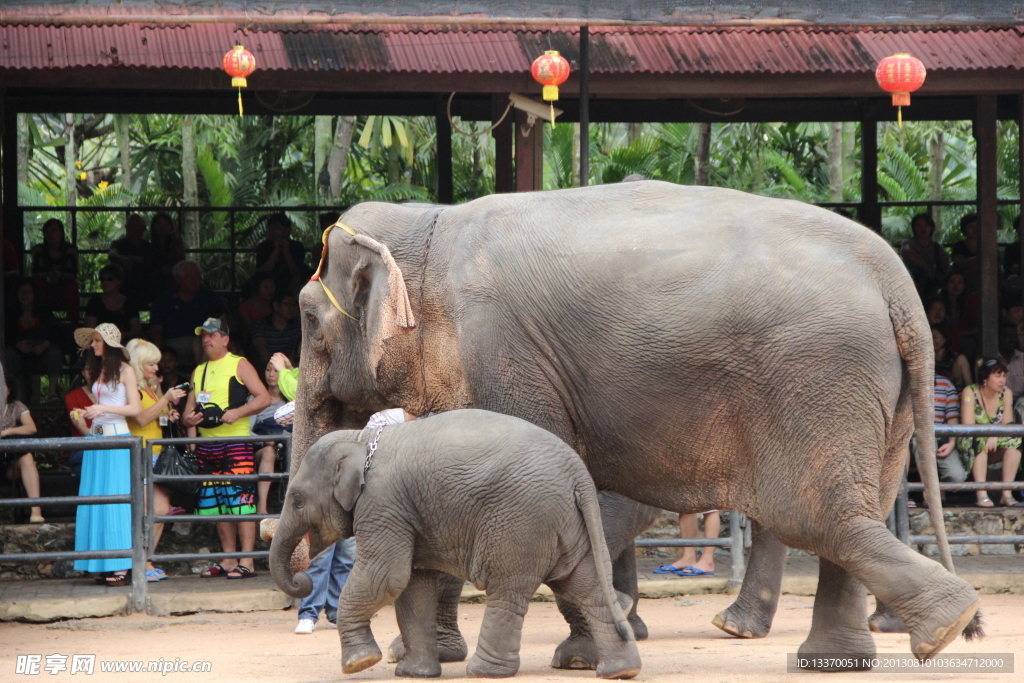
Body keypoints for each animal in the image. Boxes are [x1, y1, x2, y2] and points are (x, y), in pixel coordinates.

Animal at [272, 409, 638, 679]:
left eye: (297, 500)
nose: (301, 580)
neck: (361, 439)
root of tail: (579, 474)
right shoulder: (402, 512)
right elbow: (413, 584)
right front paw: (413, 673)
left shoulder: (382, 503)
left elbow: (385, 576)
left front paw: (358, 663)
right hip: (567, 523)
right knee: (584, 585)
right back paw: (621, 669)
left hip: (520, 521)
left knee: (506, 589)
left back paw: (484, 671)